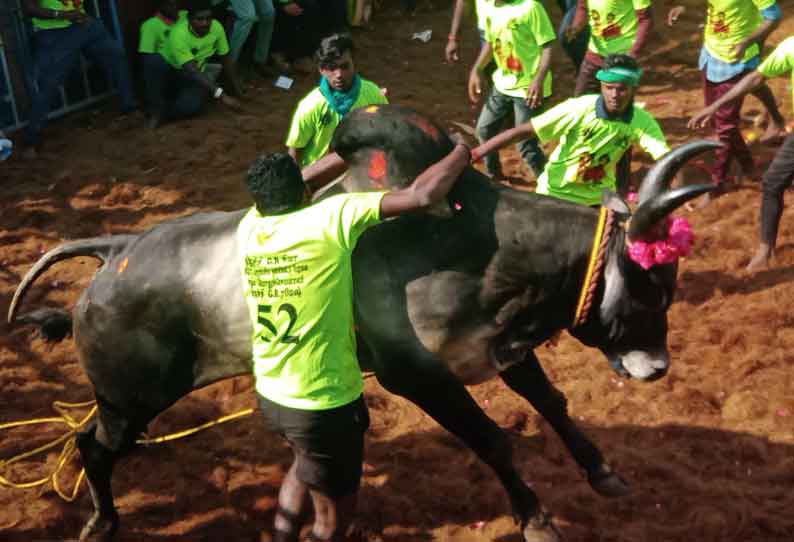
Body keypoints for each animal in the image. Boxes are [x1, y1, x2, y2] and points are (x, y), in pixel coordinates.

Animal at [4, 107, 712, 542]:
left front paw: (602, 472)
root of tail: (115, 250)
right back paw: (101, 522)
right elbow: (493, 442)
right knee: (92, 448)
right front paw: (536, 518)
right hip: (129, 399)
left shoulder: (505, 349)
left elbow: (554, 404)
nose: (658, 367)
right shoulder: (417, 376)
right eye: (651, 285)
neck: (481, 242)